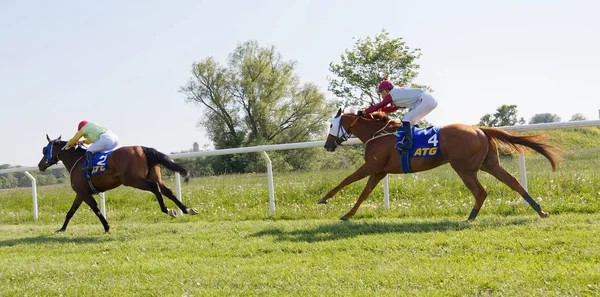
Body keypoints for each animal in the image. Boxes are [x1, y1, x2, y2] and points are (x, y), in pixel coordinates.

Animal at [38, 135, 199, 232]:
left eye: (44, 150)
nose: (40, 165)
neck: (76, 161)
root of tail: (141, 148)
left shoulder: (83, 192)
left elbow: (96, 209)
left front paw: (107, 226)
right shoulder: (80, 193)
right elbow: (70, 212)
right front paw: (61, 229)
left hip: (132, 180)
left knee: (155, 188)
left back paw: (167, 209)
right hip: (154, 177)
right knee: (167, 191)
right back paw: (187, 209)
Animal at [322, 108, 560, 220]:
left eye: (332, 125)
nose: (327, 145)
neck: (377, 134)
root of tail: (479, 129)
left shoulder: (371, 167)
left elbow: (347, 180)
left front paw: (323, 198)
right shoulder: (379, 171)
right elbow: (364, 193)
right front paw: (347, 215)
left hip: (464, 168)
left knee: (481, 192)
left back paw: (470, 217)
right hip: (489, 164)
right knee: (514, 183)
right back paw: (540, 211)